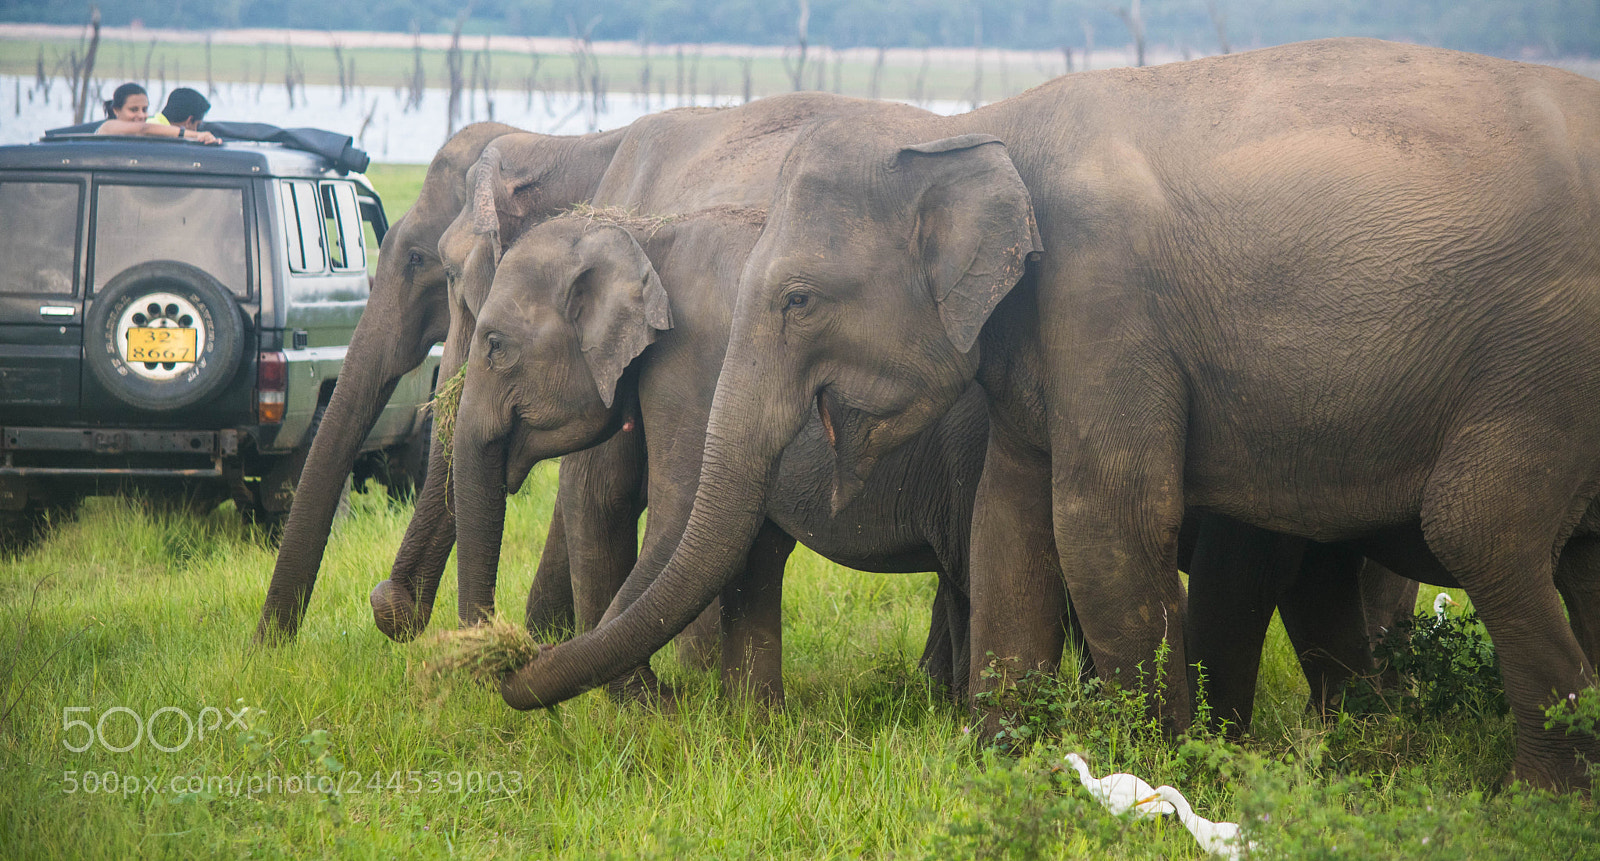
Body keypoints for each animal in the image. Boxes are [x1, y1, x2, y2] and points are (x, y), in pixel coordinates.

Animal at [494, 39, 1600, 790]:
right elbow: (1010, 525)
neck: (981, 124)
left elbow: (1103, 519)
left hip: (1540, 359)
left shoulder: (1107, 297)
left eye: (800, 299)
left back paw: (1531, 795)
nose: (503, 672)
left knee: (1480, 526)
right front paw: (996, 761)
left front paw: (1158, 774)